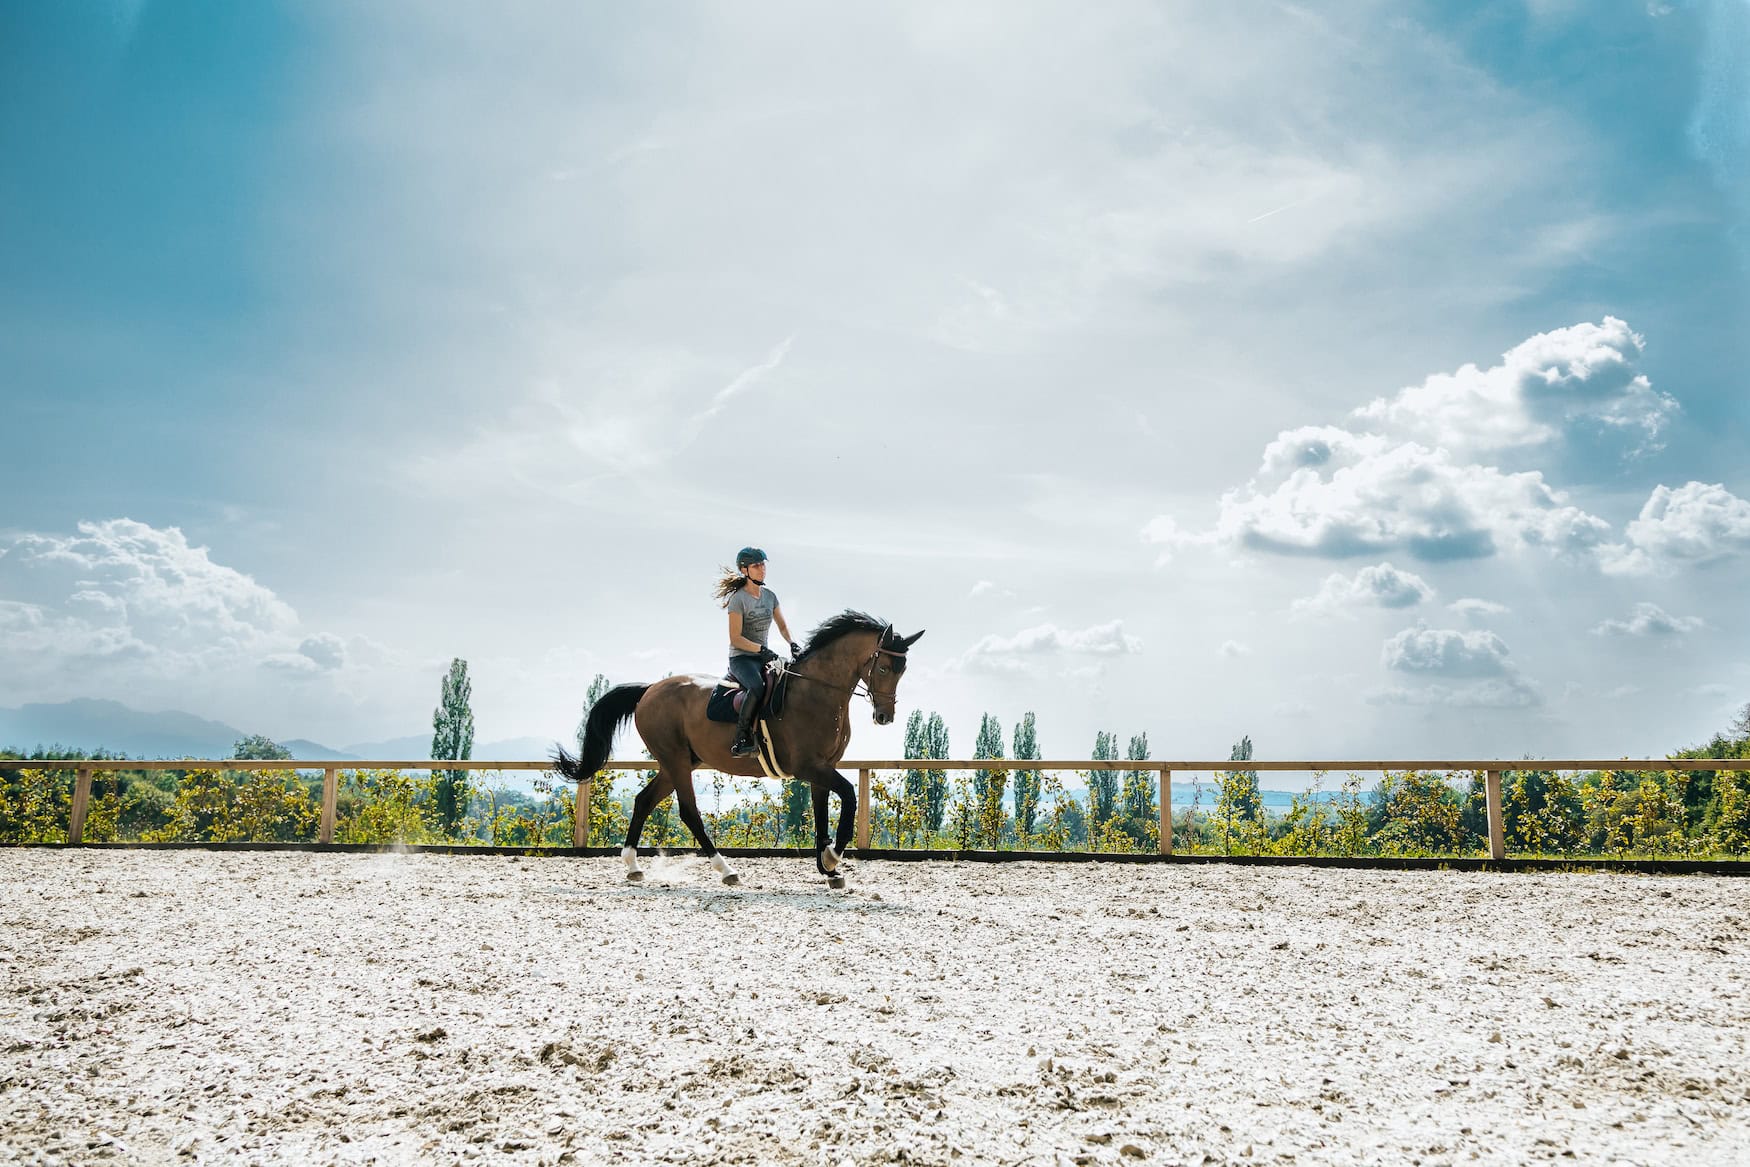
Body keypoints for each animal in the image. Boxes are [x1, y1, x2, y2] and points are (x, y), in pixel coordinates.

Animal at [553, 612, 924, 885]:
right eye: (883, 667)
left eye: (903, 670)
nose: (884, 716)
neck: (817, 691)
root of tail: (649, 690)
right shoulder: (809, 766)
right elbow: (848, 795)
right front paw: (833, 857)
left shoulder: (823, 767)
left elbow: (821, 813)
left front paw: (828, 868)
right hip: (676, 760)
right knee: (689, 812)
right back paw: (726, 870)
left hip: (678, 762)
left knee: (644, 800)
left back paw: (632, 865)